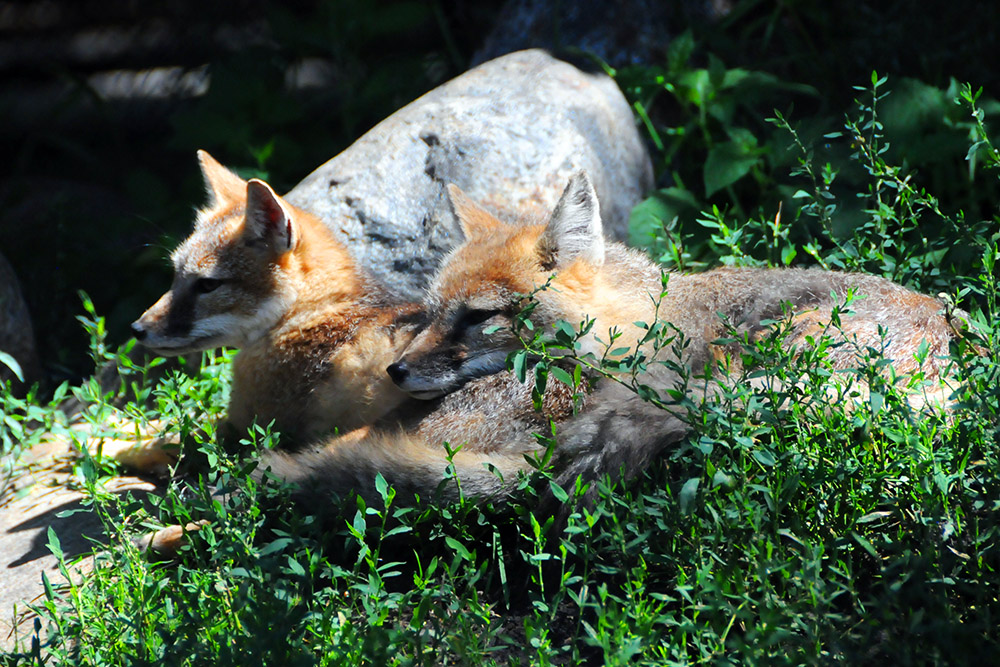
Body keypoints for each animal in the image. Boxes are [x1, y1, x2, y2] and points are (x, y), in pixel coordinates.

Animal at [131, 151, 421, 445]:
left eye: (208, 284)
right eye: (175, 275)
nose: (137, 329)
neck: (312, 313)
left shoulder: (241, 427)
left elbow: (148, 438)